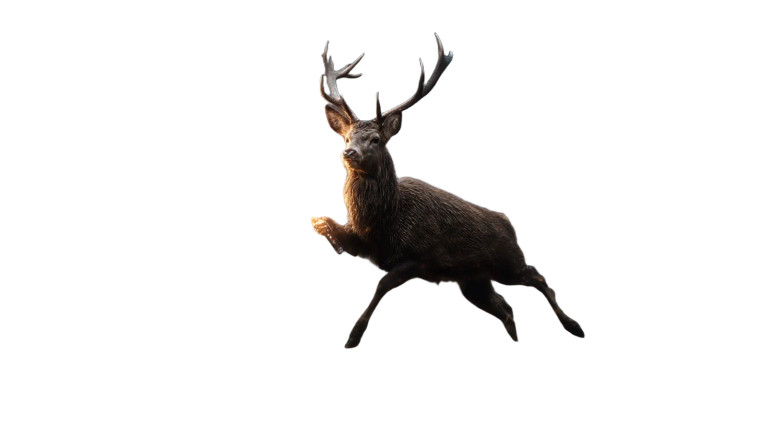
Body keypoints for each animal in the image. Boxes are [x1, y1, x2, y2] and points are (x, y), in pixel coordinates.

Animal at [312, 34, 584, 348]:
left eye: (376, 139)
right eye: (346, 136)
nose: (349, 152)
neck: (384, 222)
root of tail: (508, 223)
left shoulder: (419, 257)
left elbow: (381, 285)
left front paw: (354, 335)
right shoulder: (366, 245)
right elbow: (334, 233)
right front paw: (322, 226)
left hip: (508, 263)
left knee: (538, 279)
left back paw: (574, 326)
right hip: (473, 280)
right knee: (505, 306)